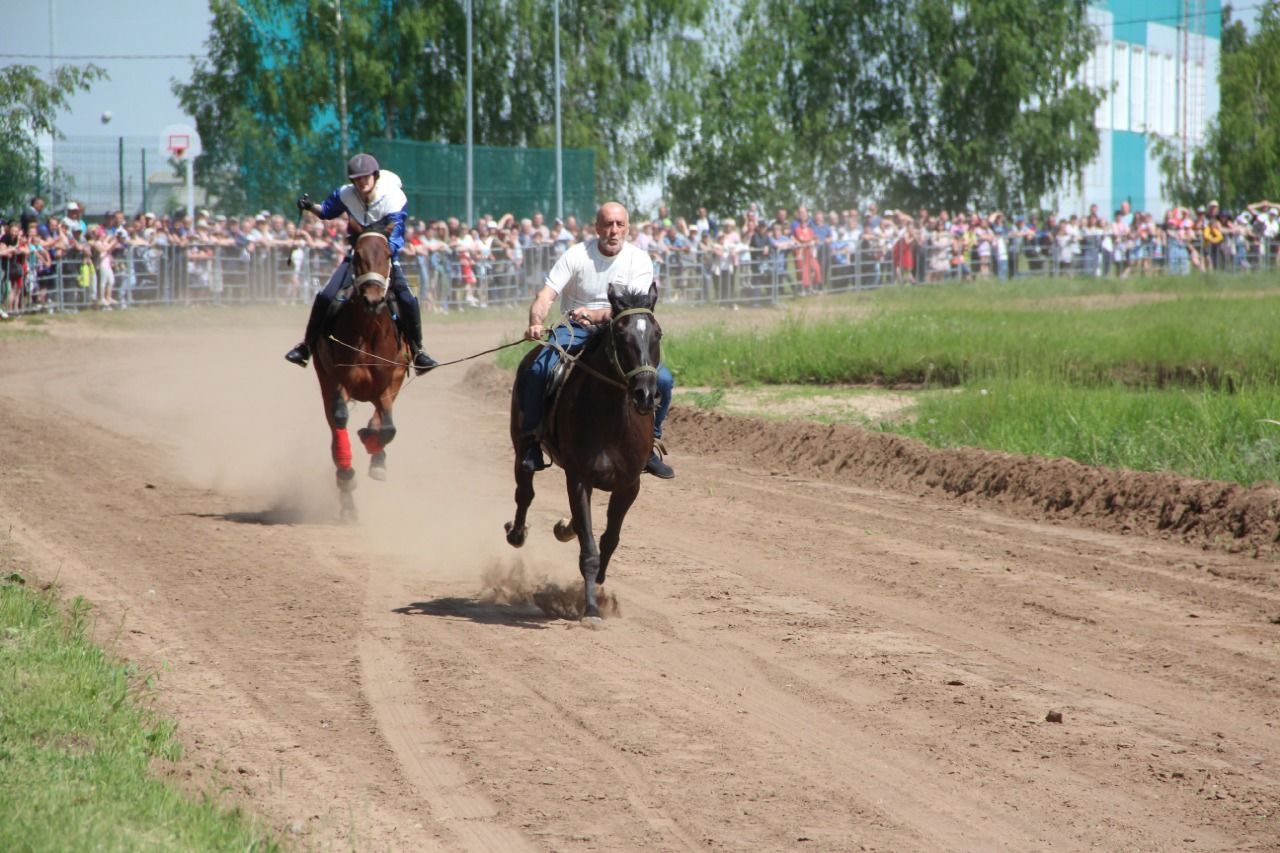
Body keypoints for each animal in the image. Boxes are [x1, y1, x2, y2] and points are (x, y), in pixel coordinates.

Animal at [311, 213, 407, 517]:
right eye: (358, 255)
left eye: (388, 254)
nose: (373, 299)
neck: (366, 331)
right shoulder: (337, 380)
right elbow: (340, 417)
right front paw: (347, 475)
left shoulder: (388, 383)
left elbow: (388, 427)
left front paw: (373, 446)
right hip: (324, 380)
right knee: (335, 424)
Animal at [501, 281, 660, 622]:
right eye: (622, 335)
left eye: (657, 333)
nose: (645, 394)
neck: (611, 419)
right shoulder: (578, 478)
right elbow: (588, 549)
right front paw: (591, 610)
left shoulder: (629, 485)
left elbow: (609, 540)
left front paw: (598, 583)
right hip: (521, 447)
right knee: (525, 493)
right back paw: (517, 532)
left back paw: (565, 527)